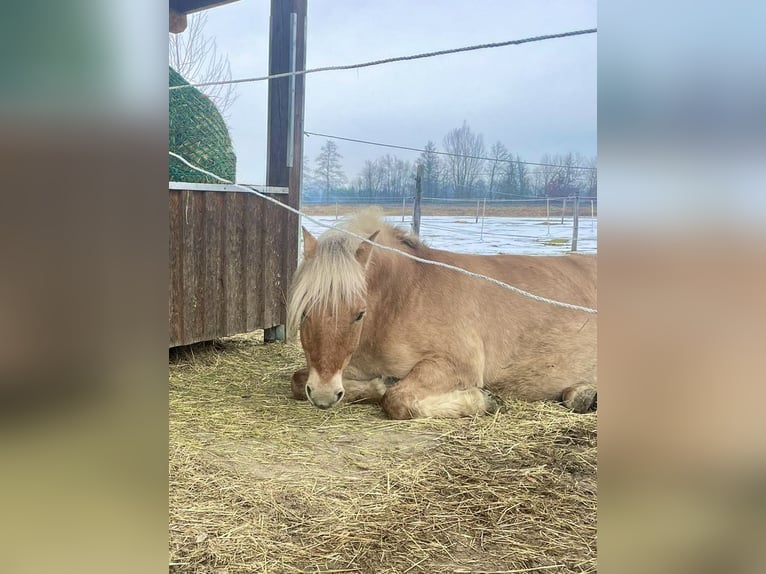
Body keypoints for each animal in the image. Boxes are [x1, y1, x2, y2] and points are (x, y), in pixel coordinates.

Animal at [288, 210, 597, 419]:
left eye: (359, 314)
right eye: (304, 312)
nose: (325, 395)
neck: (402, 298)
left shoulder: (455, 365)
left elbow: (397, 399)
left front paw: (482, 400)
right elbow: (298, 380)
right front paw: (380, 383)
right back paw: (583, 396)